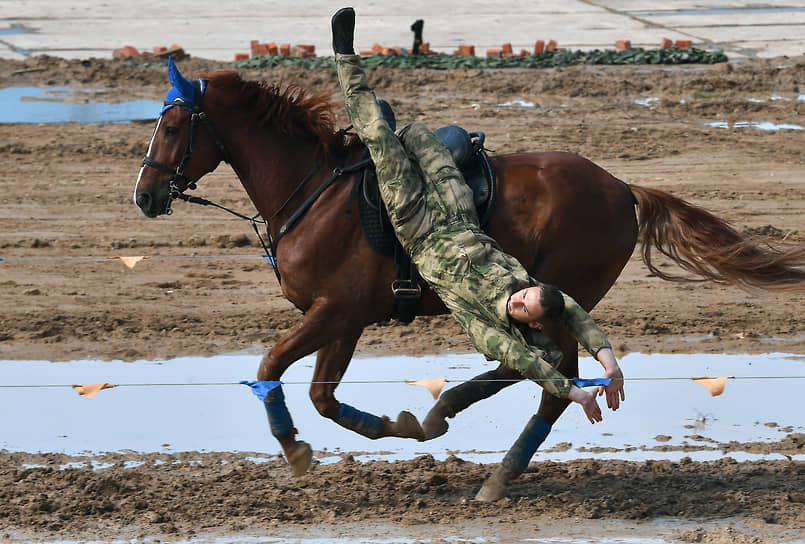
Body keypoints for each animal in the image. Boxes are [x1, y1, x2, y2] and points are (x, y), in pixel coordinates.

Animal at [133, 59, 804, 498]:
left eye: (173, 126)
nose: (143, 194)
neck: (315, 190)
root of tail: (623, 189)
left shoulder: (336, 310)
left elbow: (271, 365)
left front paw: (295, 451)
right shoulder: (343, 317)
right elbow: (324, 395)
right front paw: (394, 426)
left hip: (561, 289)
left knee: (552, 374)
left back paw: (497, 467)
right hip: (548, 297)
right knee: (539, 366)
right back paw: (445, 413)